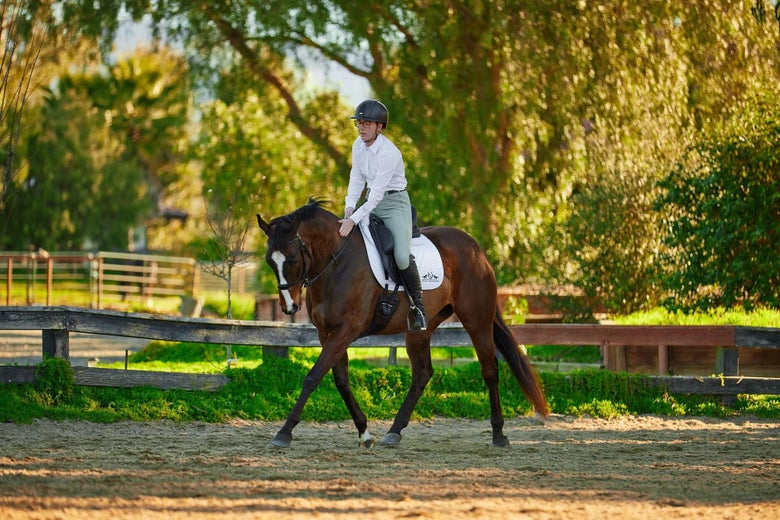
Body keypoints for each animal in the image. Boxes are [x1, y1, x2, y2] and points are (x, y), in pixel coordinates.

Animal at [257, 198, 548, 448]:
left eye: (293, 259)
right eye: (270, 261)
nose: (289, 307)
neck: (336, 262)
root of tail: (476, 249)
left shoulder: (344, 332)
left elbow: (313, 376)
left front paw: (284, 432)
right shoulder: (326, 333)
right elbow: (341, 381)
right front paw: (364, 433)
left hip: (477, 320)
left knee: (489, 370)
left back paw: (499, 434)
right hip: (420, 329)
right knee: (422, 374)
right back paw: (394, 431)